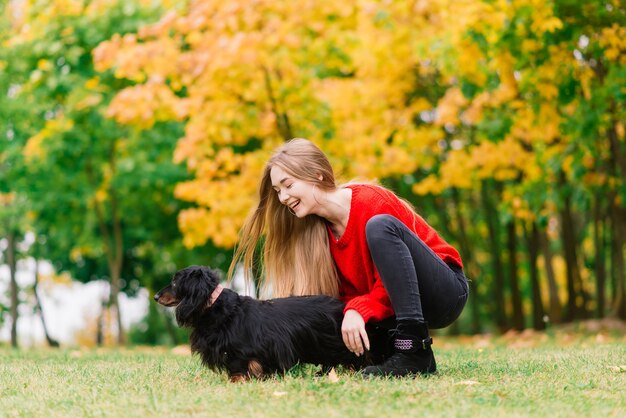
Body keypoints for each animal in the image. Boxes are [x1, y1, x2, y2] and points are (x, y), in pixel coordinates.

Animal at [154, 266, 390, 380]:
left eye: (175, 281)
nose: (155, 296)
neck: (216, 307)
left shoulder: (239, 353)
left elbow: (238, 369)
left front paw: (238, 381)